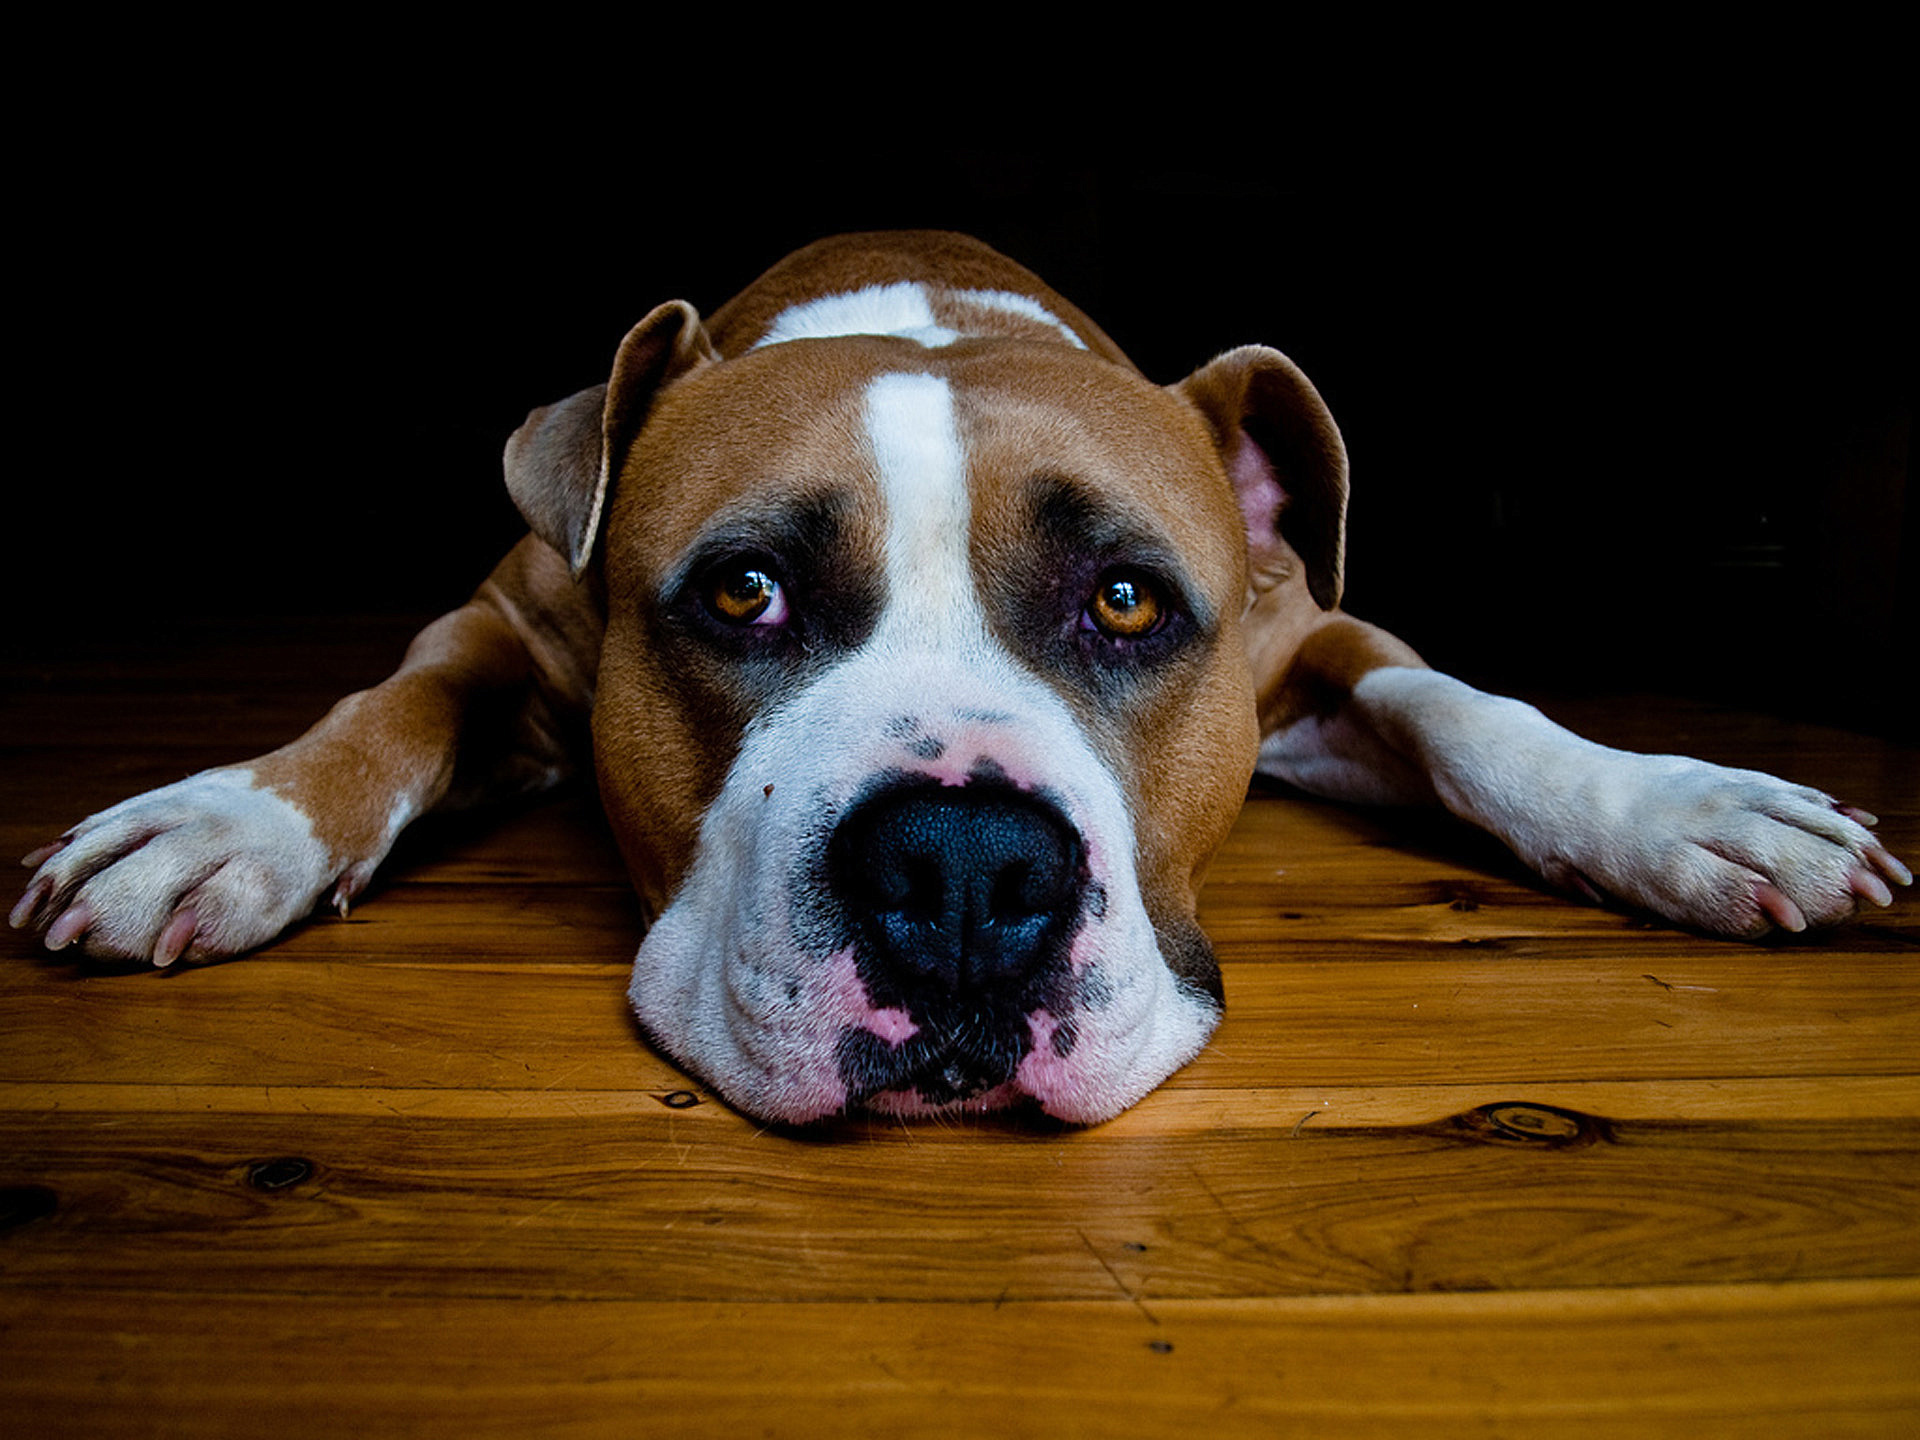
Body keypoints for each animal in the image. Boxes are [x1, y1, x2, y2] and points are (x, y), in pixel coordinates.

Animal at [11, 231, 1904, 1121]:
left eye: (1130, 604)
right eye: (744, 592)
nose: (965, 869)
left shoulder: (1313, 635)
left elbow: (1467, 709)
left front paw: (1684, 807)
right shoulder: (513, 610)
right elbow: (390, 704)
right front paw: (226, 820)